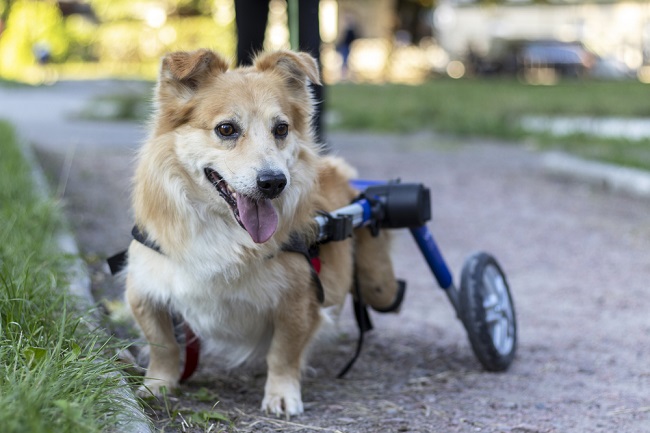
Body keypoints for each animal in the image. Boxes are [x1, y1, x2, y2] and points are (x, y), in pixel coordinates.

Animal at [123, 49, 398, 416]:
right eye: (226, 129)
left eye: (281, 129)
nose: (274, 182)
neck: (224, 228)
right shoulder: (144, 289)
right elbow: (163, 345)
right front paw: (158, 385)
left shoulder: (299, 299)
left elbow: (282, 353)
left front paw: (281, 394)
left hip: (377, 284)